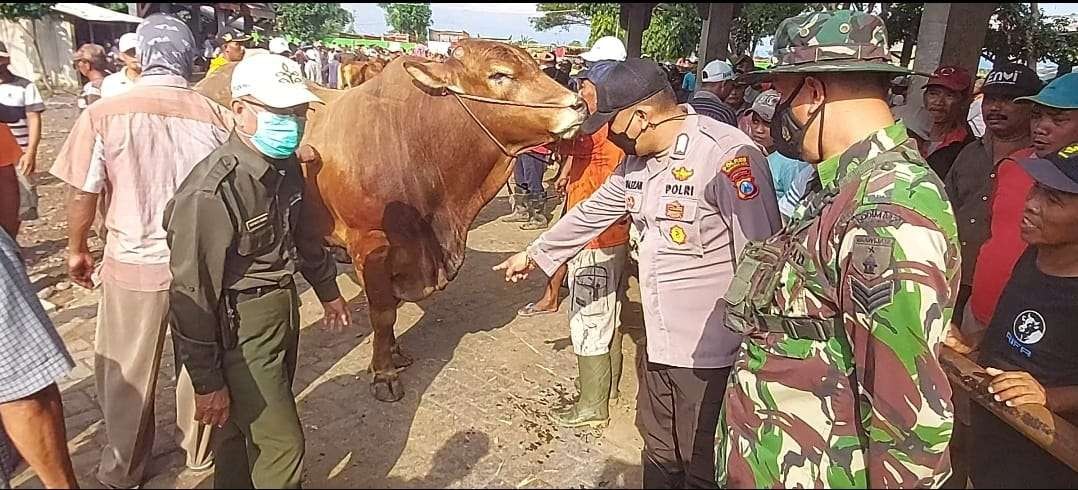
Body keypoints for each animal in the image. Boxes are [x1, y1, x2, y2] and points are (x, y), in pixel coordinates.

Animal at [194, 40, 582, 402]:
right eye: (500, 75)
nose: (578, 104)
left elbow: (390, 308)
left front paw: (394, 352)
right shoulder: (372, 245)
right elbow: (382, 313)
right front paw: (384, 372)